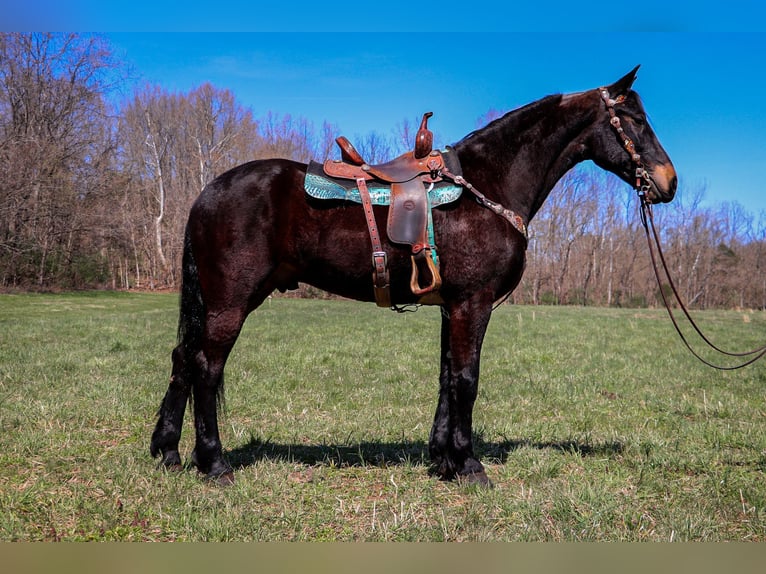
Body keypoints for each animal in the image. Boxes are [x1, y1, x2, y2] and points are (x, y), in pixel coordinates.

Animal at [150, 70, 680, 488]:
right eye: (634, 119)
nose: (669, 181)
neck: (488, 184)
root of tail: (208, 192)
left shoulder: (452, 307)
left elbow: (447, 376)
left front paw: (443, 459)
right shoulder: (473, 303)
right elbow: (467, 378)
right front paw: (469, 465)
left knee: (182, 359)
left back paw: (168, 452)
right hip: (230, 302)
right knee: (206, 367)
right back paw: (213, 464)